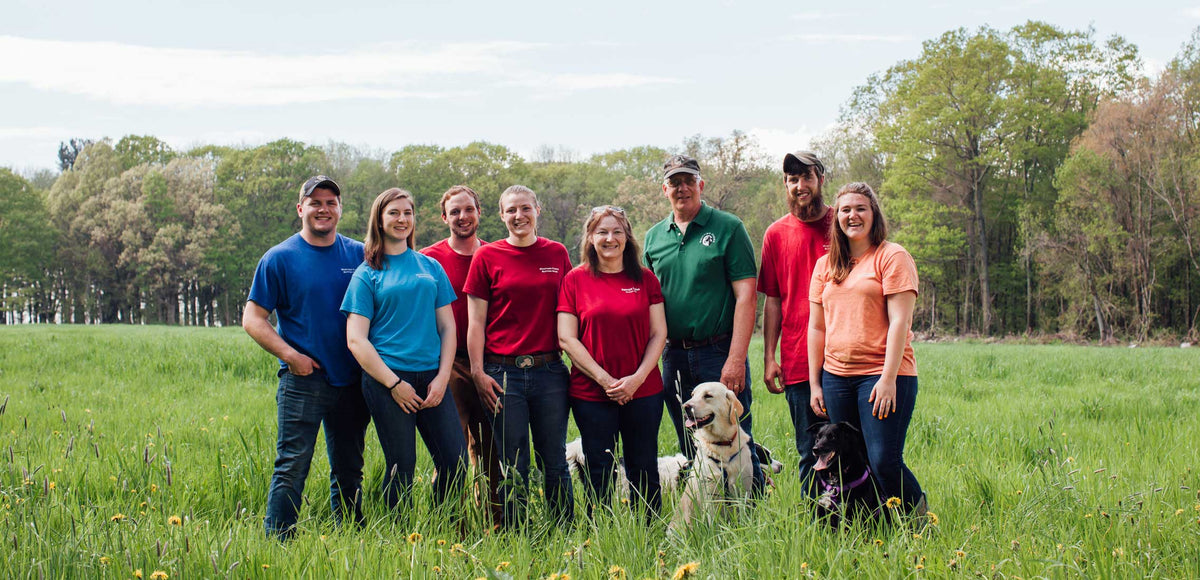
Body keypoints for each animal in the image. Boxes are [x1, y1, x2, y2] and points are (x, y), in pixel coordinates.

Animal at [672, 381, 753, 530]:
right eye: (692, 395)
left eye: (708, 396)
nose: (685, 406)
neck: (721, 443)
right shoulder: (709, 494)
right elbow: (713, 523)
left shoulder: (743, 488)